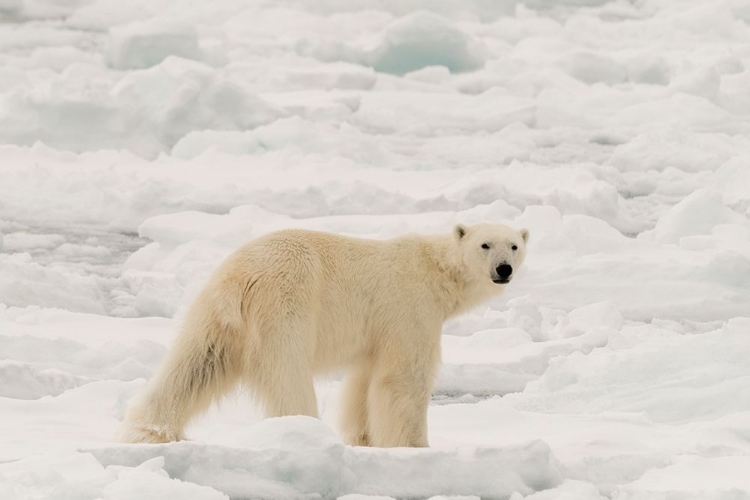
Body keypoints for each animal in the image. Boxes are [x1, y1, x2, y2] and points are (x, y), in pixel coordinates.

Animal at [119, 225, 528, 448]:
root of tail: (239, 279)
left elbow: (364, 380)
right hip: (286, 305)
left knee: (193, 366)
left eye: (514, 245)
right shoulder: (410, 308)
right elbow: (404, 378)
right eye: (485, 245)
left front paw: (364, 438)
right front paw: (416, 445)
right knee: (288, 376)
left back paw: (151, 429)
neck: (435, 271)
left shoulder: (377, 331)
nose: (504, 269)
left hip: (214, 319)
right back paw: (304, 433)